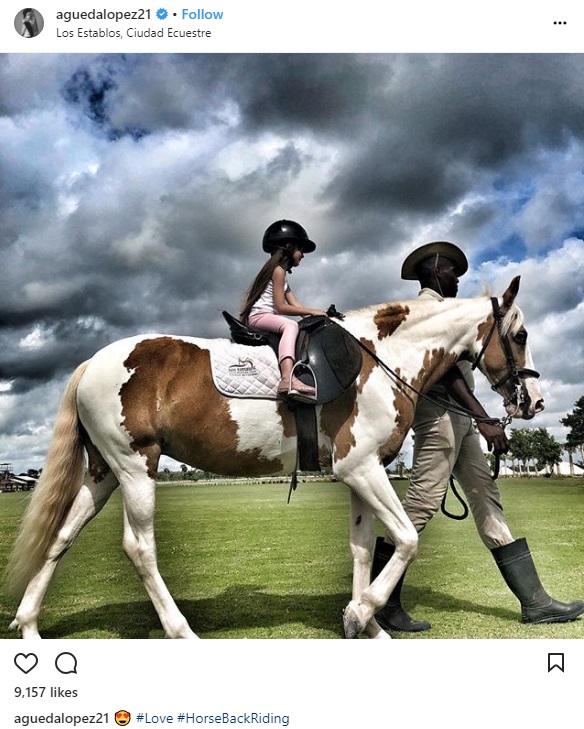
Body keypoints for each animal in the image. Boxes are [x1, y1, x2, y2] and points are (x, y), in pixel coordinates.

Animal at [6, 276, 544, 640]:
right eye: (519, 336)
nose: (534, 401)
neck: (378, 359)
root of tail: (92, 362)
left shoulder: (361, 475)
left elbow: (362, 550)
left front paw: (366, 623)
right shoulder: (361, 468)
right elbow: (408, 540)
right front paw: (361, 613)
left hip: (103, 473)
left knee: (63, 536)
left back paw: (29, 624)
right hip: (136, 468)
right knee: (140, 548)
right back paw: (181, 630)